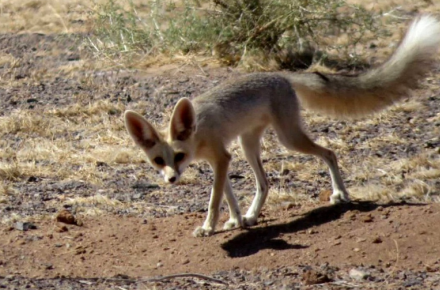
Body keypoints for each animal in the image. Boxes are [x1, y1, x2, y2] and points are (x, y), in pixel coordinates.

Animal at [124, 15, 440, 237]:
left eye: (178, 156)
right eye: (158, 160)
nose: (171, 179)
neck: (197, 132)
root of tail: (281, 75)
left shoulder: (221, 158)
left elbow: (214, 199)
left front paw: (208, 227)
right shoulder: (223, 160)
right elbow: (228, 196)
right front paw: (236, 220)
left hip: (289, 139)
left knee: (329, 153)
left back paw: (340, 195)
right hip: (248, 145)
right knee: (265, 183)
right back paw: (252, 216)